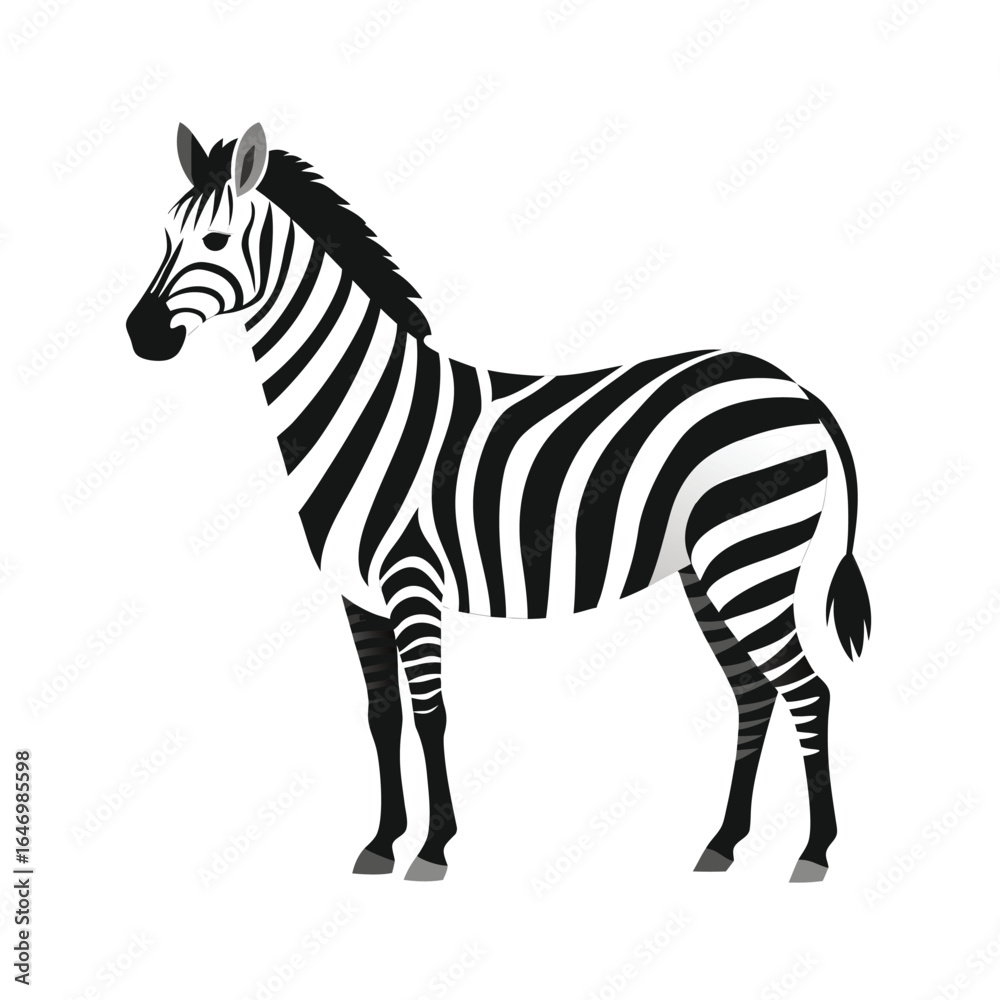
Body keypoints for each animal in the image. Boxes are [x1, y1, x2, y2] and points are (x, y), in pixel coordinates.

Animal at [126, 122, 872, 883]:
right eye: (164, 235)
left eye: (216, 240)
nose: (140, 335)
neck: (362, 406)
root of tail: (795, 387)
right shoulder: (358, 595)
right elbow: (381, 714)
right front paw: (381, 841)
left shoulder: (413, 581)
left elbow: (430, 713)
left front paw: (432, 848)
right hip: (708, 569)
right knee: (754, 692)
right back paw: (722, 844)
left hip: (750, 558)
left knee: (808, 690)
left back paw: (814, 853)